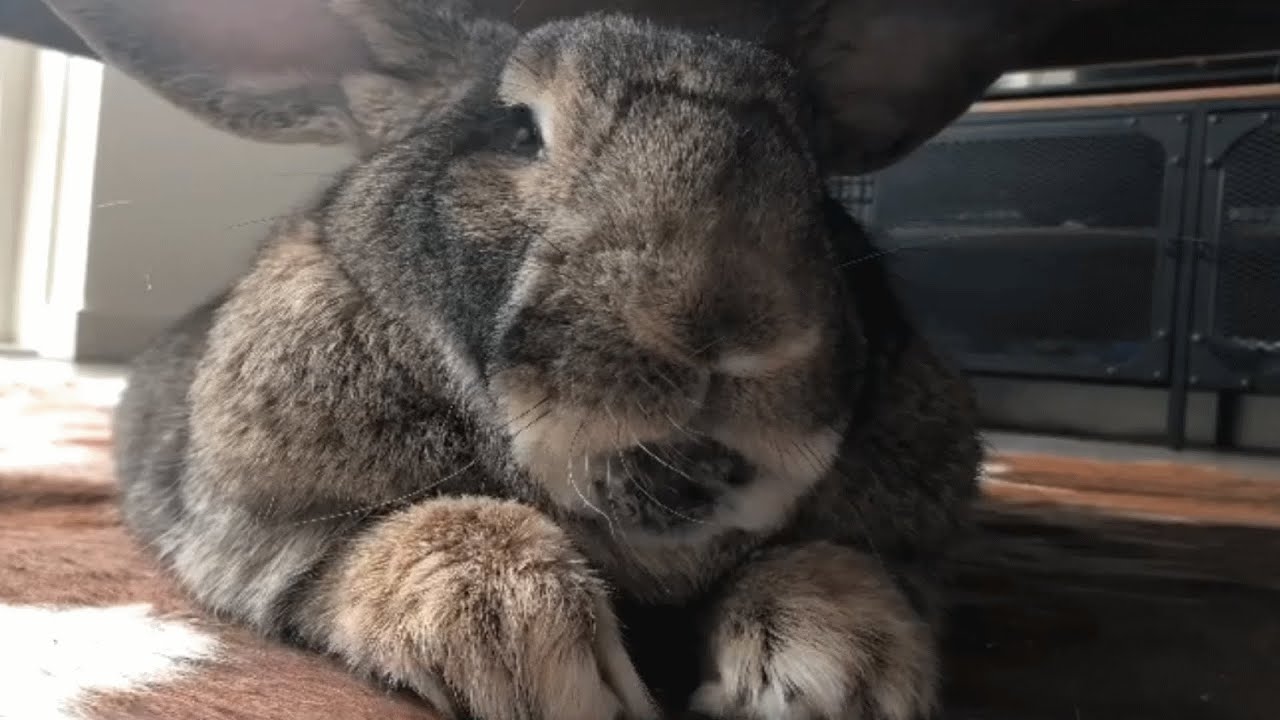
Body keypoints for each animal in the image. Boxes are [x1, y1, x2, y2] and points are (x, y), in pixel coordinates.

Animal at [45, 1, 1064, 717]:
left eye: (817, 180)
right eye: (519, 132)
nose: (729, 323)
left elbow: (834, 560)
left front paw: (841, 674)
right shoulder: (265, 524)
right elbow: (390, 541)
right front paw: (539, 661)